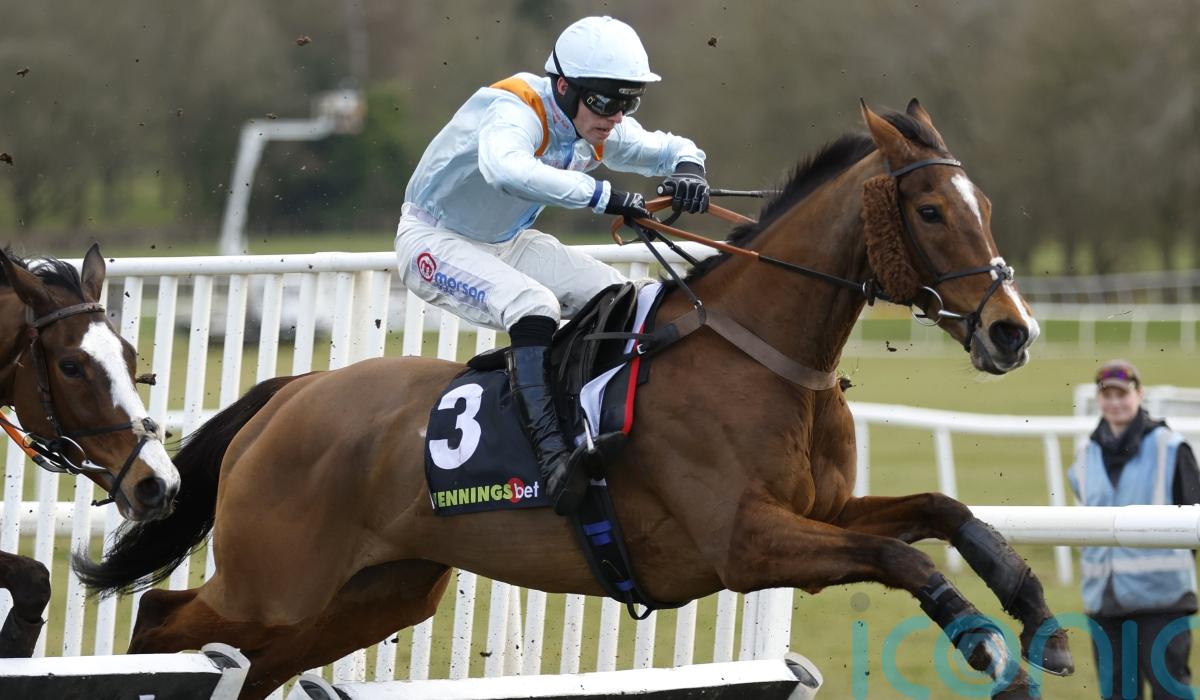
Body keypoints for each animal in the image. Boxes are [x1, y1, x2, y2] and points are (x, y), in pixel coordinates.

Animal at [75, 100, 1070, 698]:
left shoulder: (817, 512)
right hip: (274, 579)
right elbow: (901, 557)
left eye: (982, 205)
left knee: (255, 663)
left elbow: (942, 512)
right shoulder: (744, 544)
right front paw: (985, 643)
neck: (763, 358)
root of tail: (293, 392)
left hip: (378, 592)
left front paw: (1040, 622)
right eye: (933, 212)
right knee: (164, 620)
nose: (1012, 332)